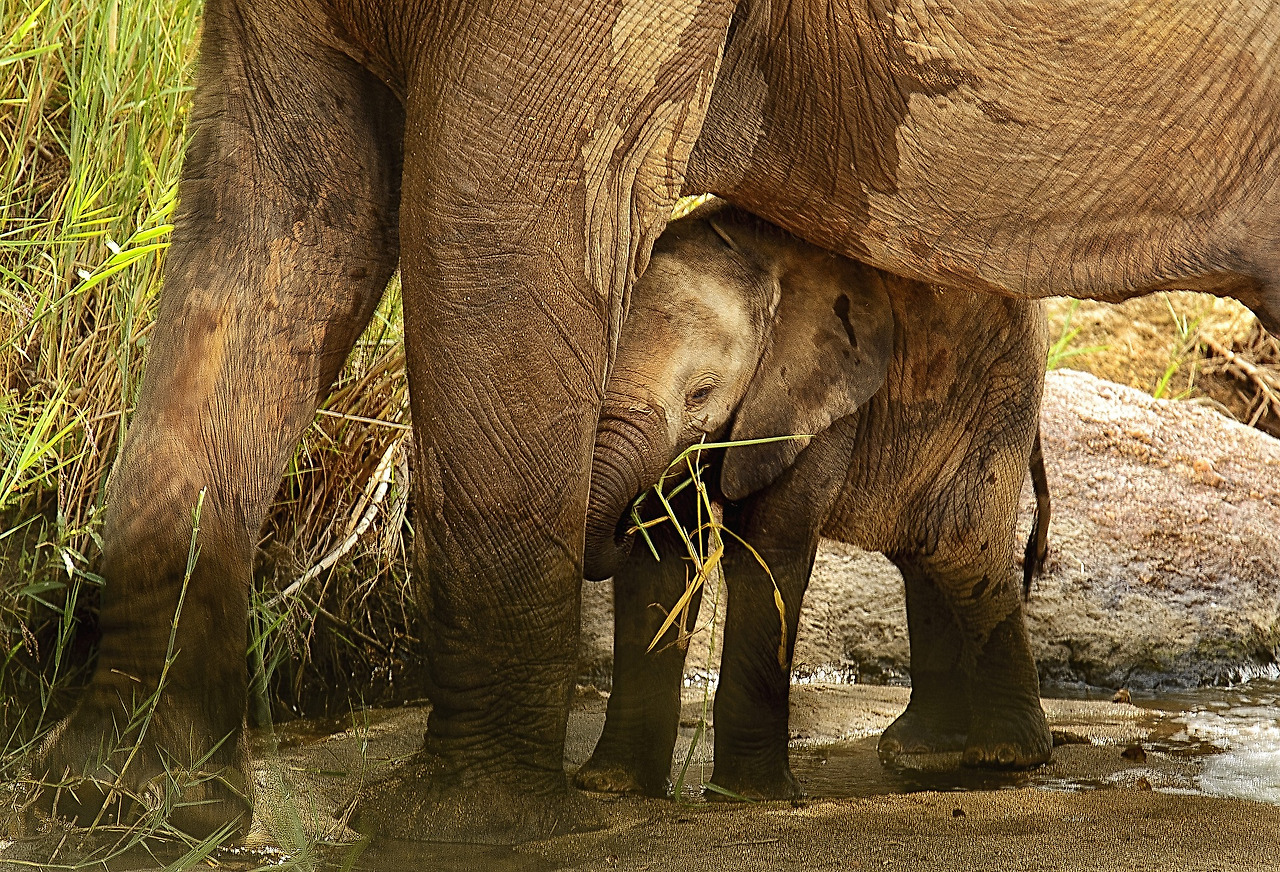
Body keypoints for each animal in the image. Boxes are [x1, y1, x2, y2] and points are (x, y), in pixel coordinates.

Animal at [577, 202, 1051, 799]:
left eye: (702, 393)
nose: (620, 518)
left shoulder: (817, 391)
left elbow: (769, 547)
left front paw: (750, 796)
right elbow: (661, 562)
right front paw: (611, 785)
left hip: (998, 396)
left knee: (962, 554)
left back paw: (1005, 757)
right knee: (927, 559)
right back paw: (921, 747)